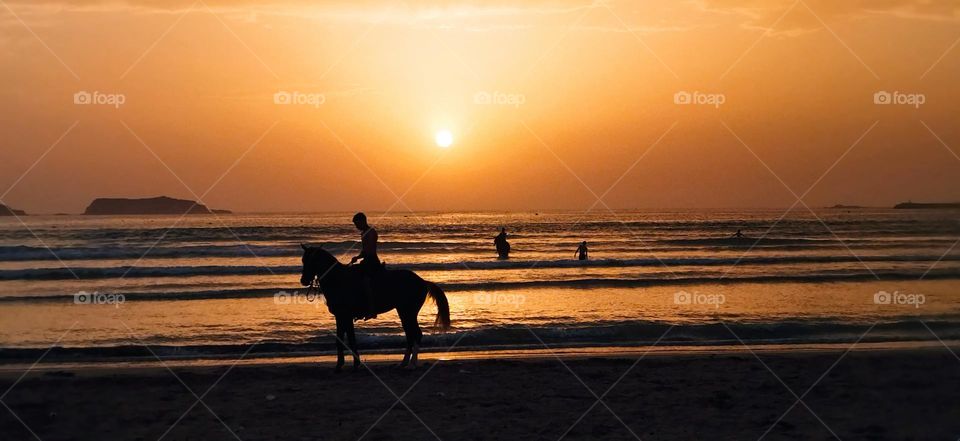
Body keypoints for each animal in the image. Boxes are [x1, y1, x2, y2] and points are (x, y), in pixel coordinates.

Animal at [300, 246, 450, 370]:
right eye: (303, 260)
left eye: (311, 260)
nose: (303, 280)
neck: (338, 280)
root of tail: (423, 281)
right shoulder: (343, 317)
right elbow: (346, 339)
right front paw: (348, 364)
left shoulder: (344, 315)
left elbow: (346, 340)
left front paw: (345, 365)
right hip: (404, 312)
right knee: (409, 335)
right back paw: (403, 363)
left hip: (408, 312)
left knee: (415, 334)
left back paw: (412, 364)